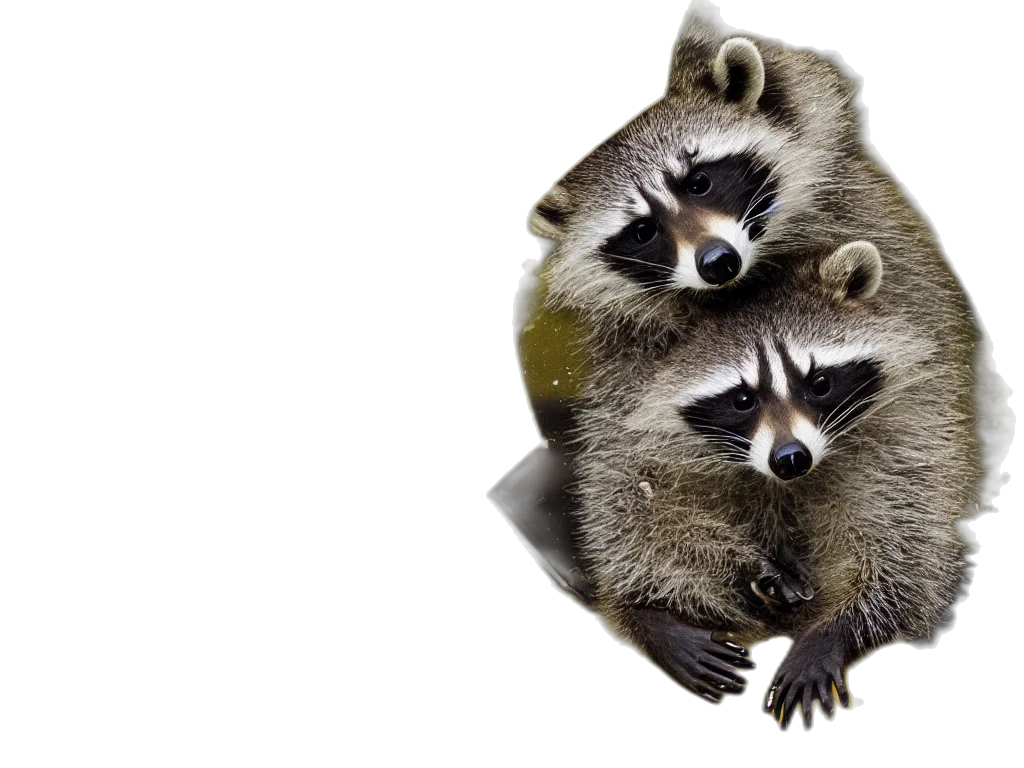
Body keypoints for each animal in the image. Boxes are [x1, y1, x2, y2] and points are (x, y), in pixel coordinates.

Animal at [572, 241, 990, 726]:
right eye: (742, 400)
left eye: (820, 383)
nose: (791, 458)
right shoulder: (628, 408)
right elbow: (638, 504)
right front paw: (731, 570)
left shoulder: (908, 426)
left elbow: (906, 557)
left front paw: (833, 631)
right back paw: (642, 609)